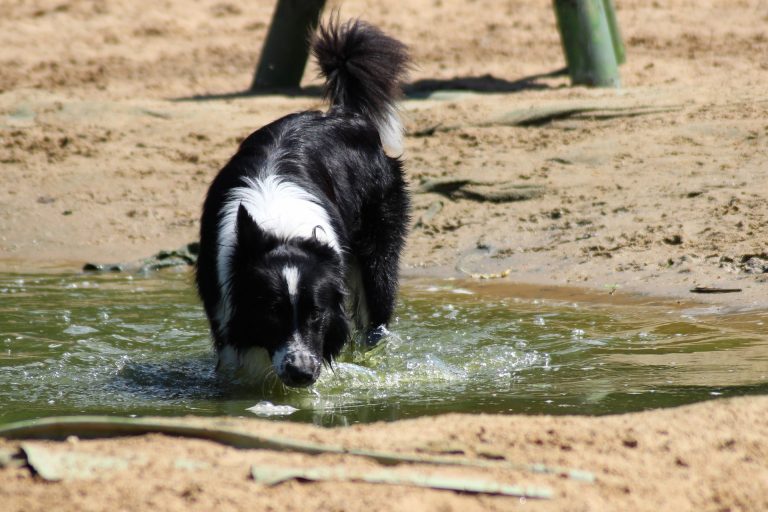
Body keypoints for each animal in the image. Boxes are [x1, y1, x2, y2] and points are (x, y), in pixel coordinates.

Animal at [198, 19, 412, 388]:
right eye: (272, 313)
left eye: (316, 314)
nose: (301, 373)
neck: (282, 229)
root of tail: (345, 114)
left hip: (379, 259)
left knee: (375, 320)